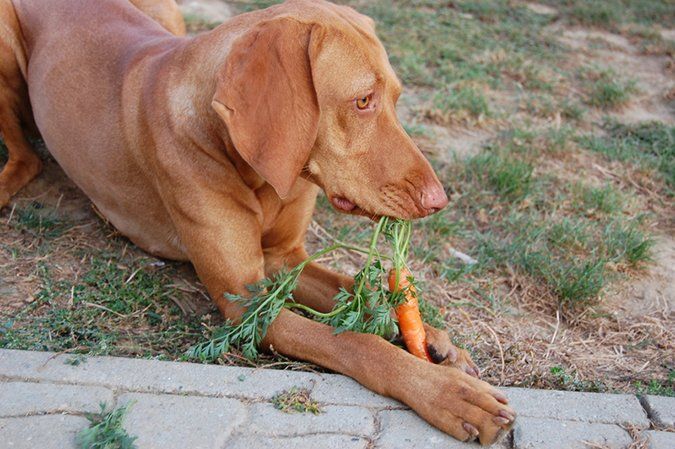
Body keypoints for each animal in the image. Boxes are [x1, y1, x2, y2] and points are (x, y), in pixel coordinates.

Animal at [0, 0, 516, 440]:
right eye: (363, 101)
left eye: (395, 97)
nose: (439, 200)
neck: (254, 171)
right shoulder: (246, 303)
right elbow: (354, 342)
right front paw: (450, 394)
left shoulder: (285, 258)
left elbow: (361, 291)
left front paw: (435, 340)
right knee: (27, 157)